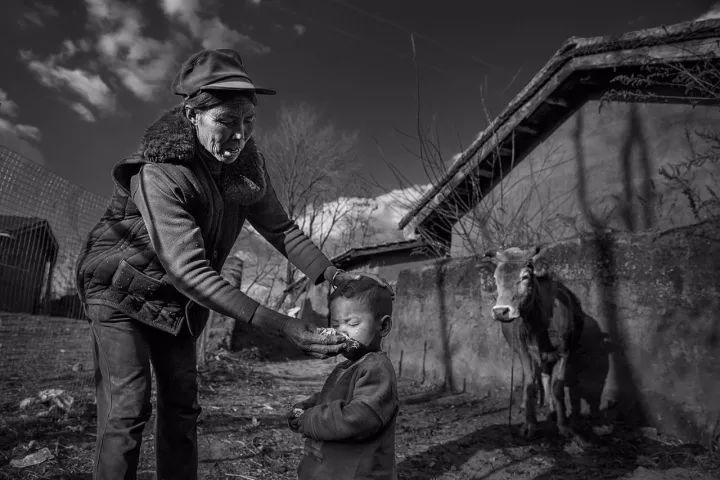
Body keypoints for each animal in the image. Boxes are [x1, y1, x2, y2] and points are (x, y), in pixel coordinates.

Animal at [490, 248, 584, 438]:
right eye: (495, 278)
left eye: (525, 276)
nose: (501, 311)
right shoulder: (524, 351)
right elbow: (530, 385)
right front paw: (530, 425)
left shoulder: (565, 351)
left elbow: (557, 387)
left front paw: (564, 426)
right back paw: (526, 405)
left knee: (546, 375)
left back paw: (551, 409)